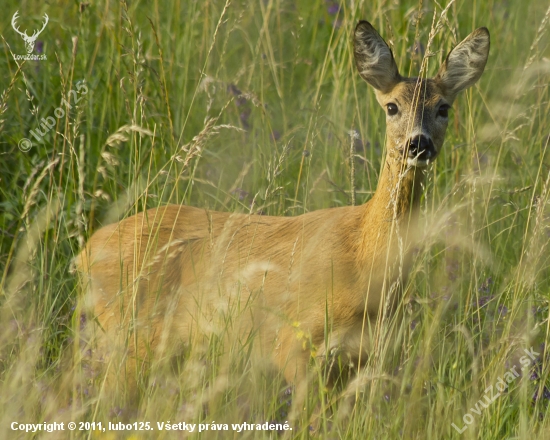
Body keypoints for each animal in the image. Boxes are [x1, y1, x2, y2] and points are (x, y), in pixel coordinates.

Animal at [74, 19, 492, 410]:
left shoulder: (368, 356)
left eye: (443, 108)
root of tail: (88, 249)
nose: (418, 143)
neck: (364, 257)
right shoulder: (296, 342)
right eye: (392, 107)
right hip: (130, 334)